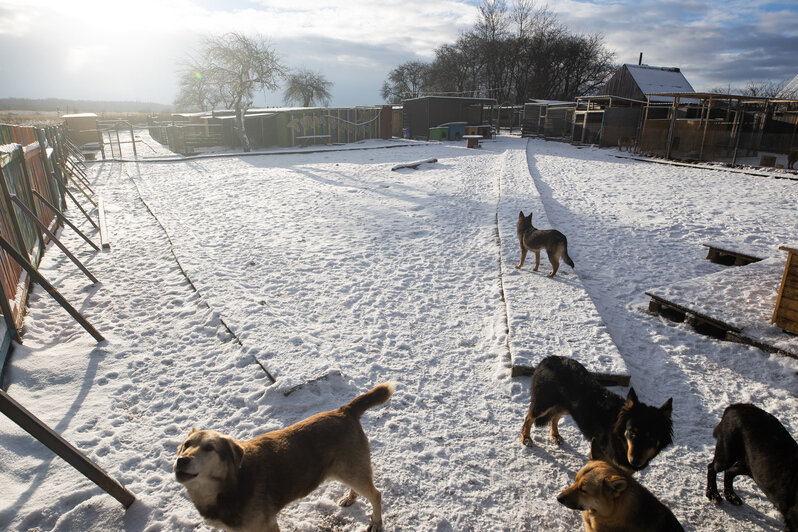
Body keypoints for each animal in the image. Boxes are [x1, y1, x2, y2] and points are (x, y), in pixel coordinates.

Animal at [177, 382, 396, 532]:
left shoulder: (267, 526)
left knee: (376, 494)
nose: (182, 460)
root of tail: (344, 410)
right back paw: (350, 497)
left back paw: (376, 522)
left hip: (352, 469)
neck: (234, 482)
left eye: (209, 448)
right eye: (186, 445)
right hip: (349, 469)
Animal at [520, 356, 680, 472]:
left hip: (566, 405)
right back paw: (526, 438)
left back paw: (555, 435)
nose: (635, 461)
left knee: (554, 417)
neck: (620, 437)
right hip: (544, 403)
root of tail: (547, 359)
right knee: (529, 418)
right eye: (631, 432)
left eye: (651, 438)